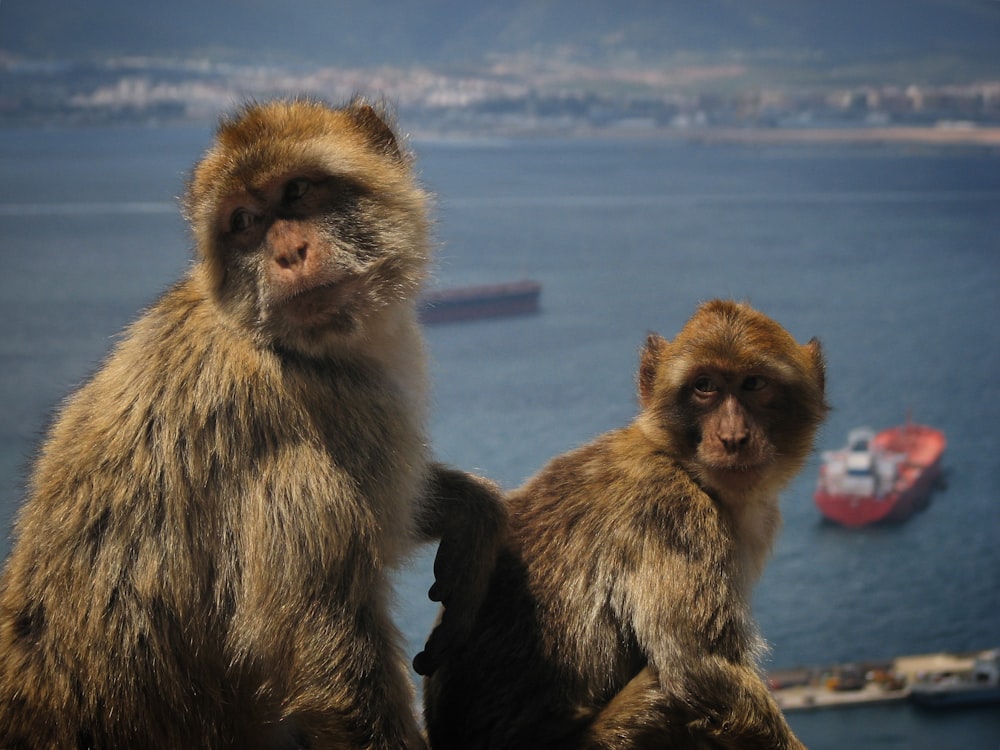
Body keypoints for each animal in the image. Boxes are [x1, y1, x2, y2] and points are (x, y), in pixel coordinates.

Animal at [0, 97, 504, 748]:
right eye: (244, 221)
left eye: (296, 191)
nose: (287, 254)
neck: (286, 346)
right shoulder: (303, 444)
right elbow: (327, 662)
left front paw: (474, 512)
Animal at [424, 302, 828, 750]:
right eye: (704, 386)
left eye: (753, 384)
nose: (733, 437)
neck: (677, 459)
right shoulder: (675, 512)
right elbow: (700, 671)